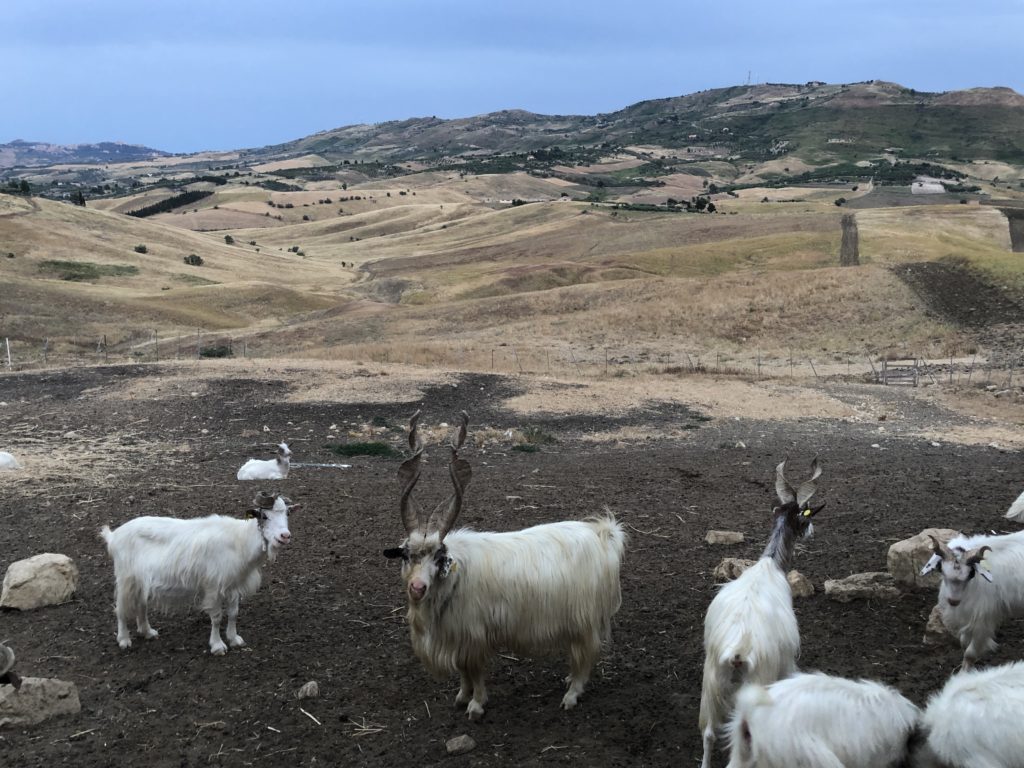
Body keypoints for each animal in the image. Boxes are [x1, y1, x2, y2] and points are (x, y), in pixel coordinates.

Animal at [99, 493, 296, 655]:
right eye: (264, 516)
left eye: (287, 514)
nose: (285, 536)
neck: (239, 541)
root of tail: (113, 536)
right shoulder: (213, 586)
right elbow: (216, 617)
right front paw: (217, 646)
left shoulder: (232, 585)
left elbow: (233, 613)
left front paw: (234, 639)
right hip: (126, 578)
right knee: (121, 608)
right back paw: (124, 639)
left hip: (141, 581)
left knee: (141, 604)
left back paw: (147, 632)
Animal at [385, 411, 622, 720]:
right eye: (405, 555)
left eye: (439, 557)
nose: (417, 587)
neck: (457, 577)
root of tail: (602, 535)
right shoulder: (458, 637)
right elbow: (463, 672)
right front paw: (461, 696)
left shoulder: (474, 636)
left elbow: (475, 672)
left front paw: (476, 705)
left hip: (585, 619)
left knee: (586, 656)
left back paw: (572, 694)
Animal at [700, 460, 827, 768]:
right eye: (805, 517)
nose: (812, 531)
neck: (769, 565)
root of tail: (737, 652)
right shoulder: (787, 662)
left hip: (711, 687)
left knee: (708, 734)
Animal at [917, 532, 1024, 671]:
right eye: (942, 571)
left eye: (971, 574)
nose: (953, 601)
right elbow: (964, 643)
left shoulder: (983, 620)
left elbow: (970, 653)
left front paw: (963, 673)